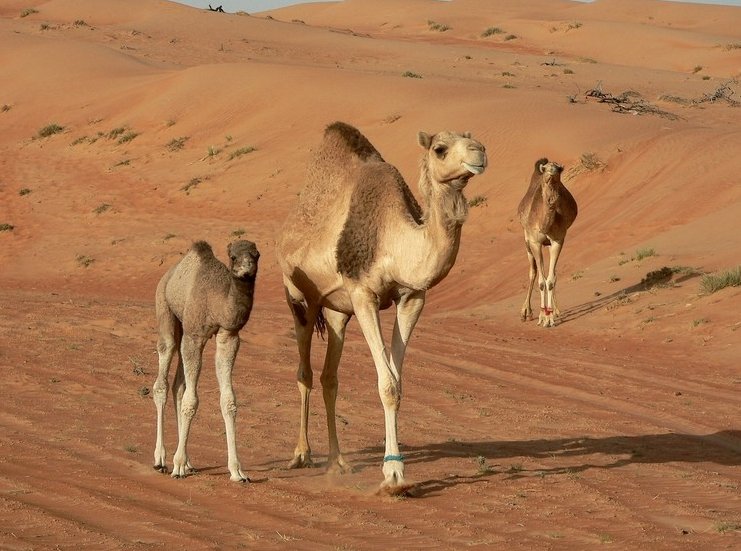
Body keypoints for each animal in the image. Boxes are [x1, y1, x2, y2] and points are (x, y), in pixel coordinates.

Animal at [150, 242, 260, 484]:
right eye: (233, 257)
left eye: (256, 255)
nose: (246, 270)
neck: (216, 297)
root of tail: (167, 275)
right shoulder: (195, 335)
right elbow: (191, 401)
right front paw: (177, 466)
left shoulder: (228, 336)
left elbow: (228, 400)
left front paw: (237, 472)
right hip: (165, 309)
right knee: (162, 380)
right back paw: (161, 460)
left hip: (183, 326)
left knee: (178, 386)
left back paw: (188, 461)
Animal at [278, 123, 486, 494]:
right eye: (440, 149)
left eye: (472, 139)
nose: (480, 152)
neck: (395, 240)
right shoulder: (363, 294)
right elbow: (387, 384)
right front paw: (393, 475)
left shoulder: (412, 297)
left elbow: (397, 383)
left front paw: (395, 470)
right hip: (299, 298)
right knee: (304, 372)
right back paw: (301, 454)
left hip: (337, 312)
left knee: (329, 377)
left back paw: (338, 462)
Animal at [516, 157, 580, 326]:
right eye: (545, 169)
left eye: (559, 169)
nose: (552, 171)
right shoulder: (535, 242)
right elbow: (541, 281)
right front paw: (541, 316)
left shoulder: (558, 240)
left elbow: (550, 280)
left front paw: (549, 317)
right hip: (527, 243)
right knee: (533, 272)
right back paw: (526, 312)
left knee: (553, 275)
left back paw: (556, 311)